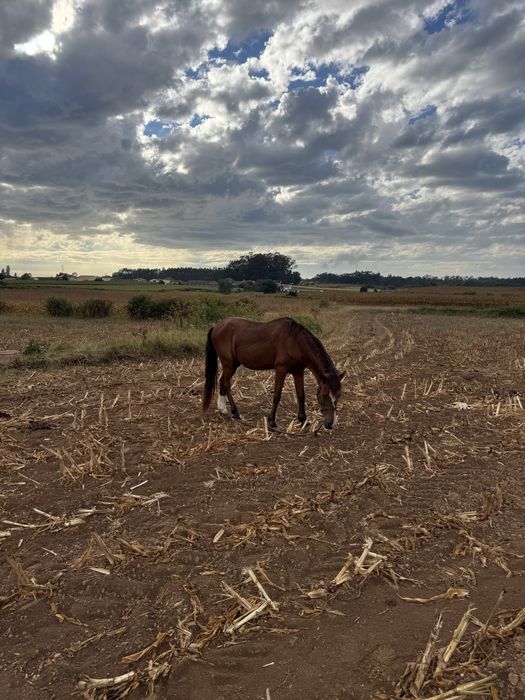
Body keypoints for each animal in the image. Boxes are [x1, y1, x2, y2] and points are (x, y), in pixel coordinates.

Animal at [202, 316, 345, 430]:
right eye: (324, 394)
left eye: (339, 395)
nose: (331, 424)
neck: (294, 341)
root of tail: (216, 327)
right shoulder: (280, 369)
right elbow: (277, 395)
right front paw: (271, 421)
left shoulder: (298, 371)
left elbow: (301, 395)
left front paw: (303, 420)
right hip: (228, 363)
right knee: (226, 383)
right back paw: (235, 412)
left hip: (233, 364)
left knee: (222, 381)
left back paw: (223, 409)